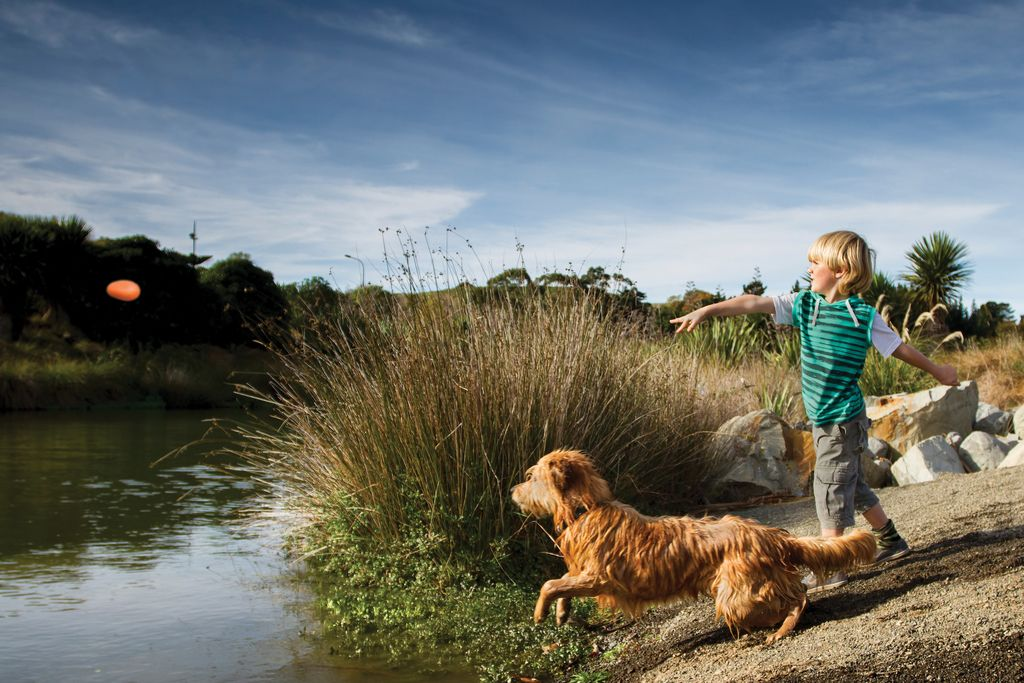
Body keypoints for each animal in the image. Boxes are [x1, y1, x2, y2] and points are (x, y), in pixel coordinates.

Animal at [509, 448, 872, 643]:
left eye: (531, 478)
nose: (512, 491)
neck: (587, 508)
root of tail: (773, 535)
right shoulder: (584, 574)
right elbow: (562, 583)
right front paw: (561, 612)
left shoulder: (600, 576)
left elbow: (549, 583)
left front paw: (541, 611)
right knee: (797, 593)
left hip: (737, 597)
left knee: (798, 598)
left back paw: (782, 629)